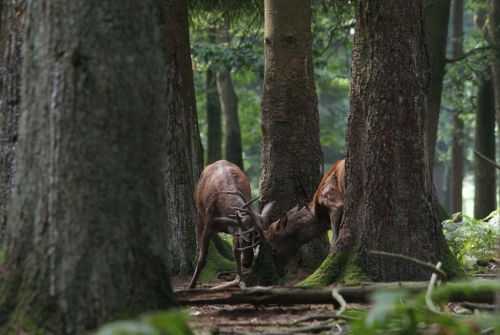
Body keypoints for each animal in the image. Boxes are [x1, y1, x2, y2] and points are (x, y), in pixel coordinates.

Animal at [188, 160, 274, 288]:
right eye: (244, 240)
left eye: (258, 244)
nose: (247, 263)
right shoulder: (209, 223)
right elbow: (202, 257)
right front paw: (191, 285)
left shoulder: (235, 229)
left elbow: (235, 253)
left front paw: (240, 281)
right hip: (199, 212)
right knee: (198, 242)